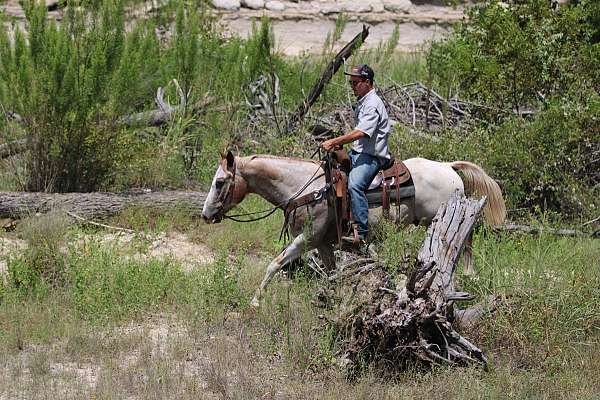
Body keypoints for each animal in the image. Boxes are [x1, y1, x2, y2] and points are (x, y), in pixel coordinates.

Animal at [203, 152, 506, 308]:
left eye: (219, 182)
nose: (206, 215)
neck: (308, 189)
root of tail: (447, 166)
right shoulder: (323, 244)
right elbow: (333, 276)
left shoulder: (307, 238)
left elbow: (275, 263)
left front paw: (255, 301)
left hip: (444, 218)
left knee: (463, 244)